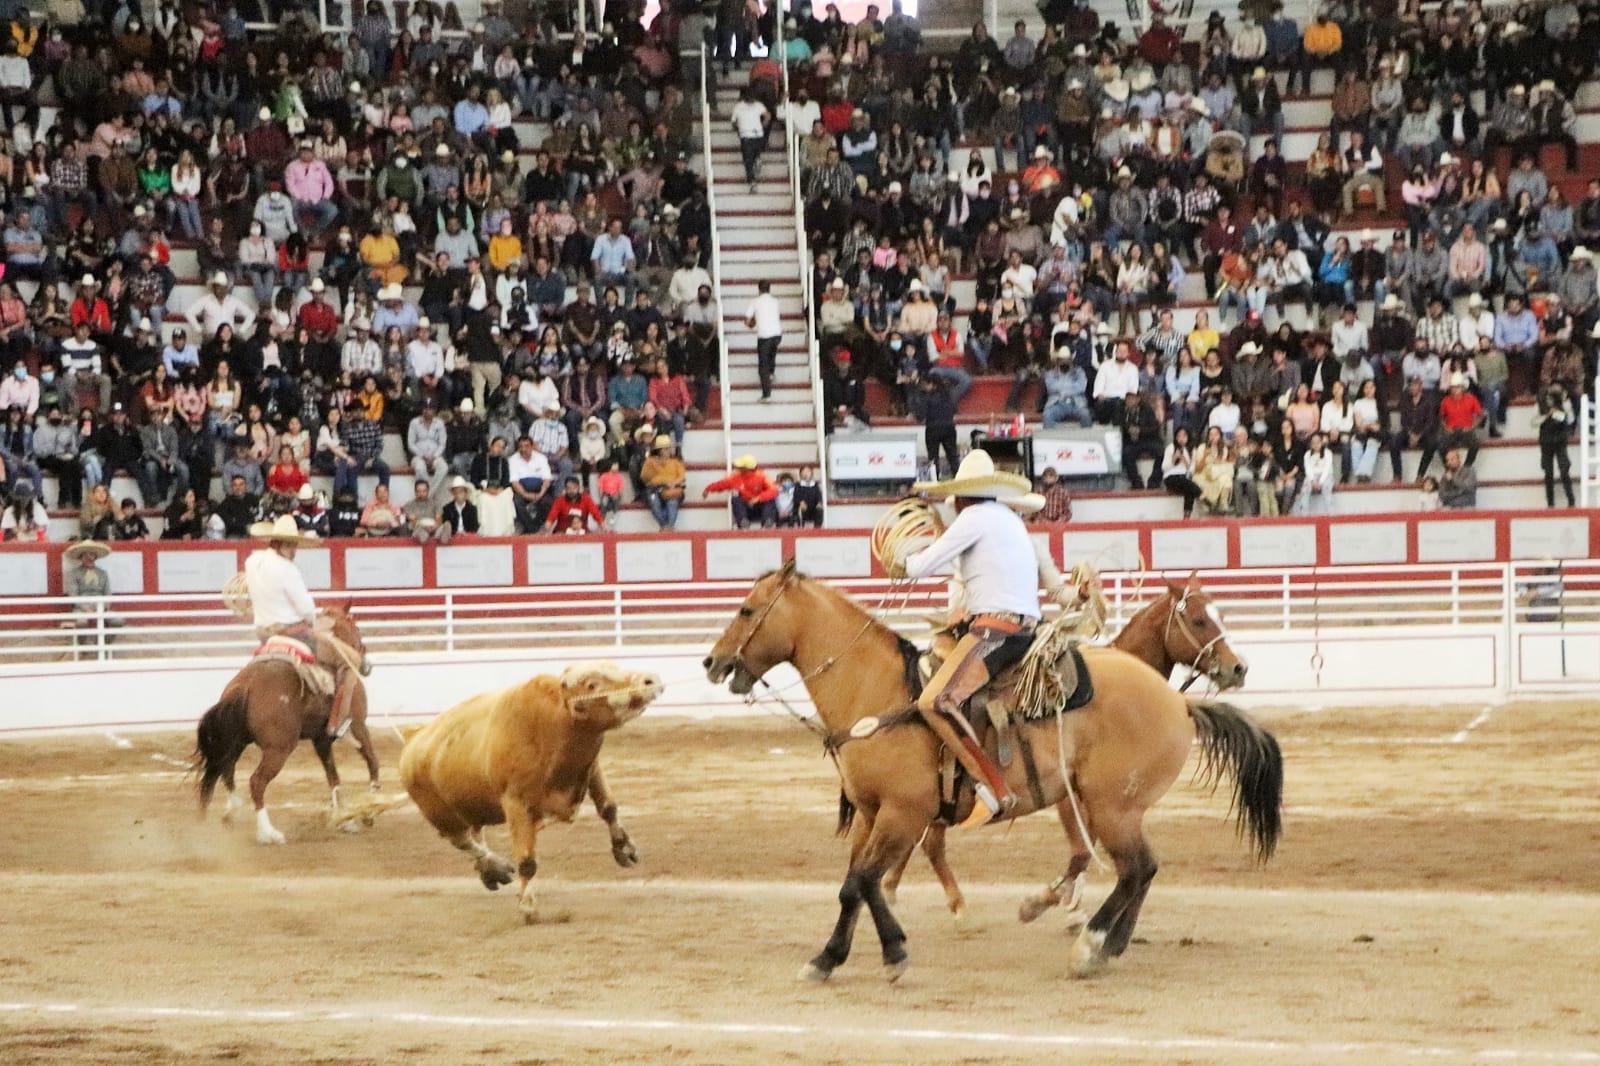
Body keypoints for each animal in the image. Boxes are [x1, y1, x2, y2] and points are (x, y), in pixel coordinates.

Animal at [192, 602, 379, 845]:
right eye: (356, 628)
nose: (366, 665)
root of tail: (246, 685)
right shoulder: (358, 726)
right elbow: (372, 760)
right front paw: (371, 808)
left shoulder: (321, 739)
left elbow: (333, 776)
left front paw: (342, 817)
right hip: (278, 749)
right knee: (256, 781)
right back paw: (268, 833)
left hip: (237, 741)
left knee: (226, 768)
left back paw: (232, 811)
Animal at [399, 661, 663, 922]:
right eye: (591, 684)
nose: (650, 679)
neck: (552, 724)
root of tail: (413, 738)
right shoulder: (516, 804)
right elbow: (527, 861)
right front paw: (528, 906)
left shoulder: (592, 768)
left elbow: (608, 808)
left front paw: (624, 849)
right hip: (441, 816)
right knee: (463, 841)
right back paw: (496, 865)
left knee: (475, 834)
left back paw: (490, 871)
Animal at [881, 573, 1251, 924]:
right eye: (1199, 620)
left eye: (1220, 615)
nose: (1238, 668)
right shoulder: (1072, 799)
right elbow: (1082, 851)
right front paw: (1056, 906)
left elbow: (1084, 852)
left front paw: (1063, 901)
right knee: (930, 841)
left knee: (927, 838)